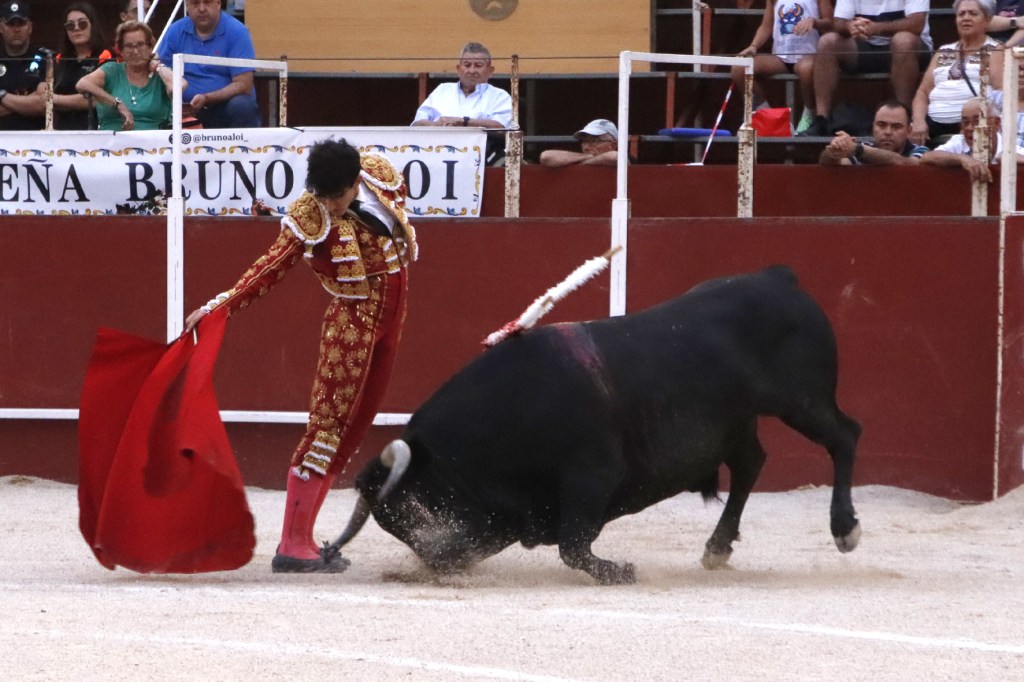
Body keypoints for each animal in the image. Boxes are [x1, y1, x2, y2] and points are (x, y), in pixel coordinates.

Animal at [327, 266, 862, 584]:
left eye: (412, 507)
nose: (439, 563)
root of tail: (779, 278)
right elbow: (569, 544)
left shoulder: (591, 477)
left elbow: (573, 546)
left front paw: (618, 570)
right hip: (739, 421)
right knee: (751, 463)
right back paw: (716, 548)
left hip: (802, 401)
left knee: (844, 437)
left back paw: (845, 528)